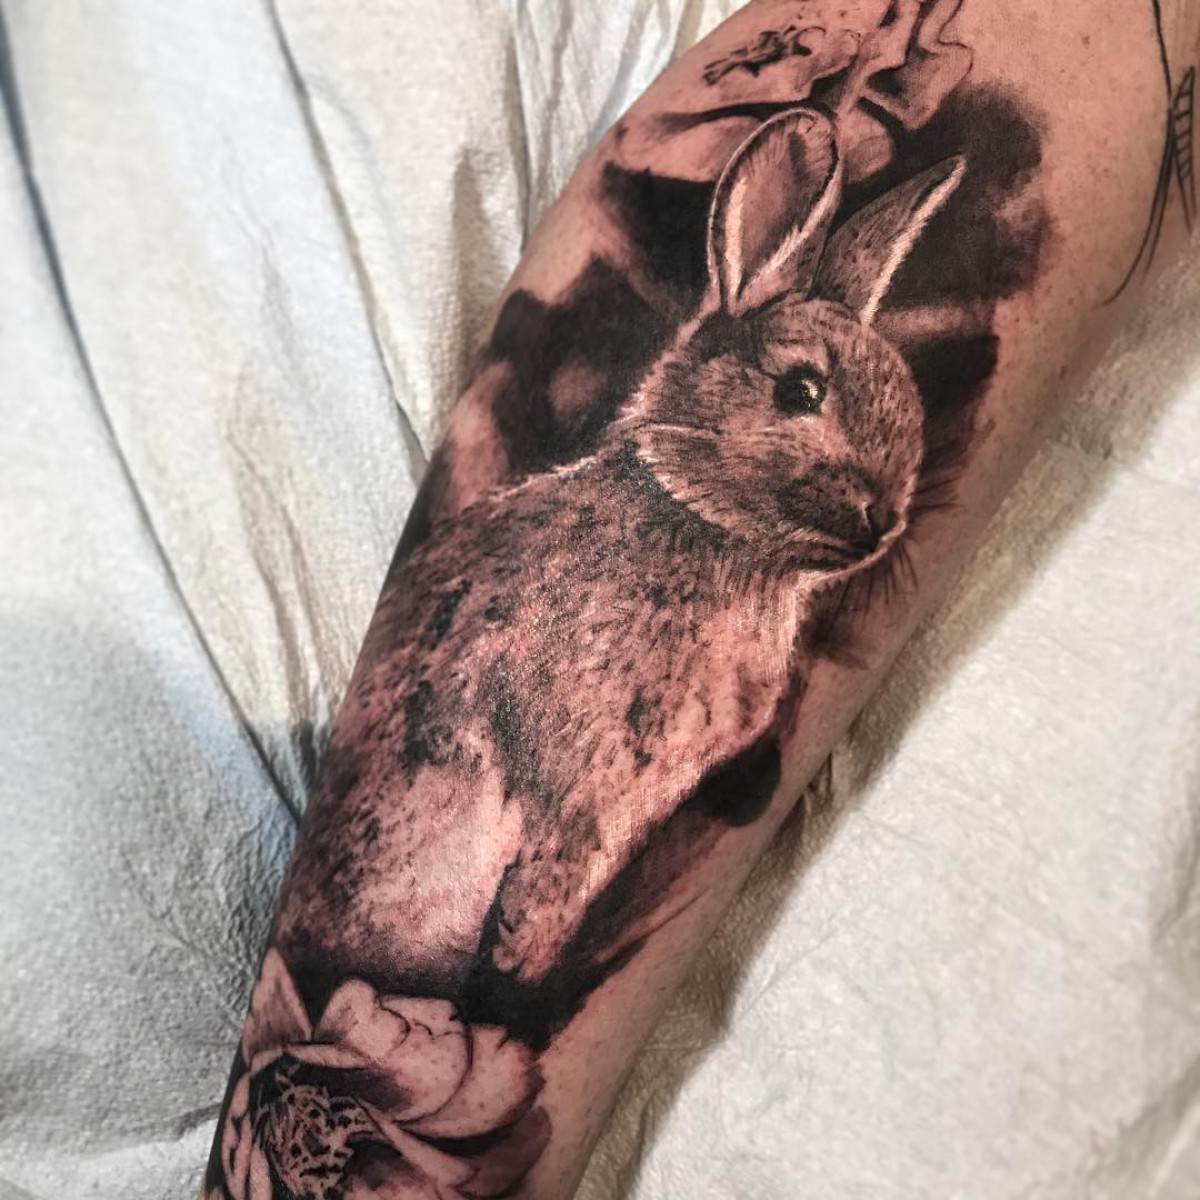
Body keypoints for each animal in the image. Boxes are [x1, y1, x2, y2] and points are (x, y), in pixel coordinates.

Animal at [278, 107, 965, 994]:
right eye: (800, 390)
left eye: (910, 407)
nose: (882, 519)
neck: (702, 527)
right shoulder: (580, 785)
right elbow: (545, 886)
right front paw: (518, 971)